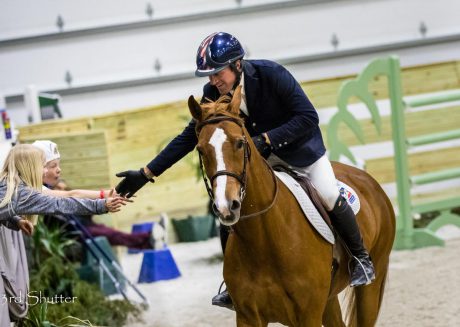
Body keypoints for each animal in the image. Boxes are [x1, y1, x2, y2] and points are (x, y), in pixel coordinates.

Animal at [187, 88, 396, 327]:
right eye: (201, 150)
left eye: (240, 143)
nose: (226, 206)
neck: (265, 238)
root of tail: (367, 179)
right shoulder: (248, 317)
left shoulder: (307, 315)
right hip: (329, 299)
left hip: (370, 285)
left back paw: (364, 267)